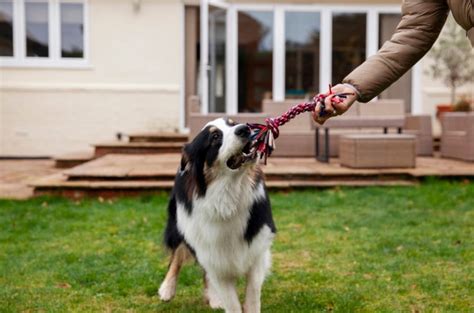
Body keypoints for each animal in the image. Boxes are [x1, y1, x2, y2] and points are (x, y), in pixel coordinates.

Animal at [157, 117, 276, 312]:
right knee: (177, 254)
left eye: (233, 123)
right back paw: (167, 289)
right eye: (214, 137)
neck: (227, 196)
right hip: (180, 225)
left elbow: (252, 293)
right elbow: (232, 302)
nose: (244, 129)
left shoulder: (257, 248)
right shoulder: (209, 250)